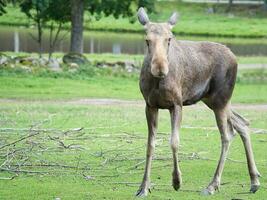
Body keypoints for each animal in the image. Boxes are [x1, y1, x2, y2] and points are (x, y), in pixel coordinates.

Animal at [137, 7, 260, 197]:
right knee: (242, 123)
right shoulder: (150, 105)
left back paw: (212, 185)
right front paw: (143, 187)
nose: (160, 68)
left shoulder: (177, 104)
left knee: (227, 135)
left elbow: (174, 142)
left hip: (220, 100)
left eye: (169, 39)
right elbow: (150, 145)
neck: (158, 82)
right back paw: (254, 180)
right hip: (213, 100)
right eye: (147, 40)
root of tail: (235, 57)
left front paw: (177, 181)